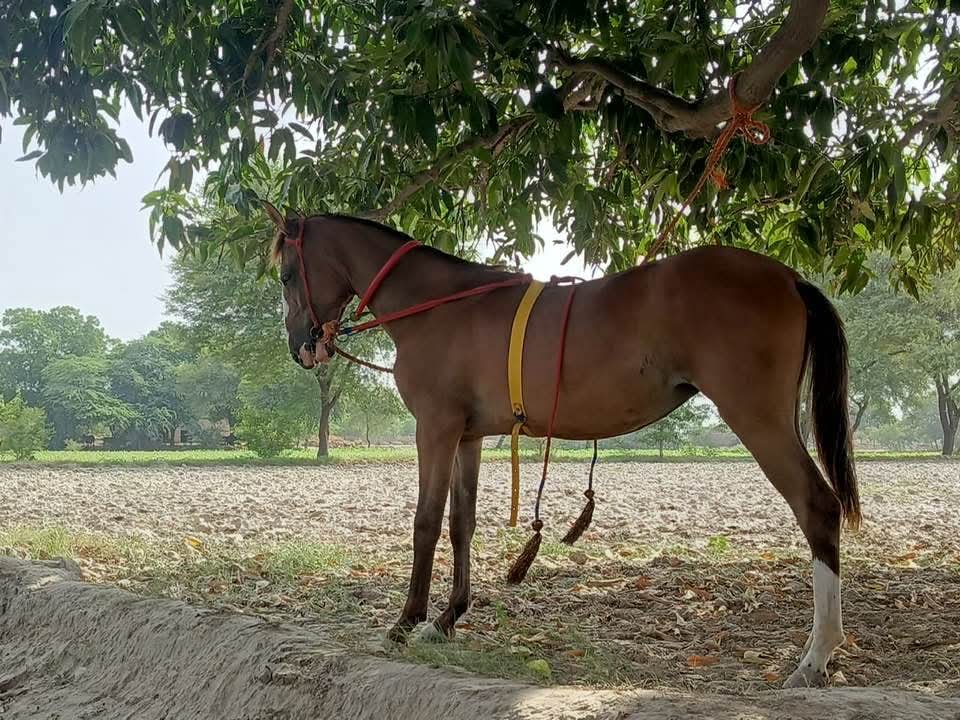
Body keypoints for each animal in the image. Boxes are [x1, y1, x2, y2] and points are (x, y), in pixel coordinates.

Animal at [266, 205, 861, 689]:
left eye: (288, 272)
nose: (300, 346)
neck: (438, 305)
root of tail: (788, 276)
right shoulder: (468, 436)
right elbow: (462, 523)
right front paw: (448, 617)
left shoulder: (434, 429)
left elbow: (427, 521)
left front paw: (407, 619)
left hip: (758, 420)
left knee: (817, 507)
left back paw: (815, 656)